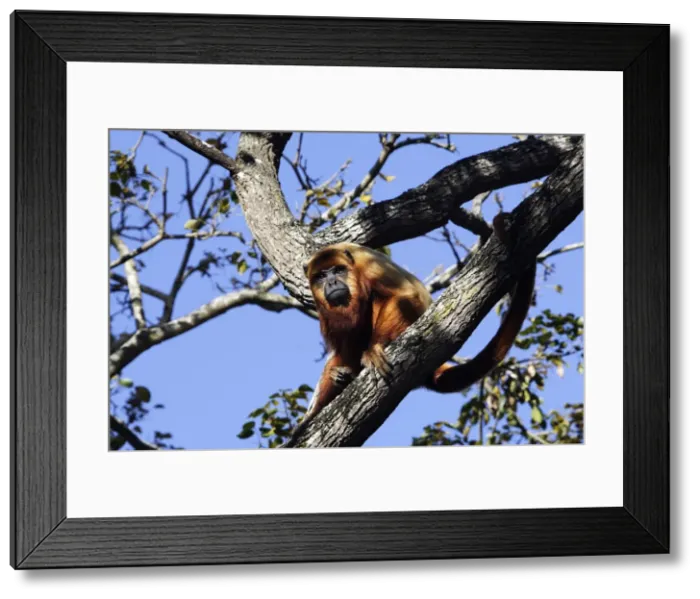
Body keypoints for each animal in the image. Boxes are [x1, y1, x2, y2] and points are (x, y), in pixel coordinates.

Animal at [292, 211, 537, 438]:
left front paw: (374, 349)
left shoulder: (369, 264)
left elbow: (403, 294)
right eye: (321, 276)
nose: (332, 282)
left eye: (338, 271)